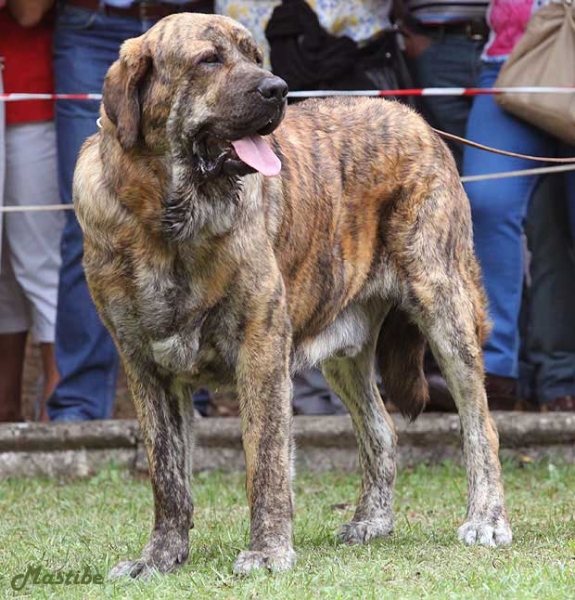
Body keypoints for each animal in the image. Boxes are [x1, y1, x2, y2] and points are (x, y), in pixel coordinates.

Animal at [75, 12, 512, 576]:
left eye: (254, 55)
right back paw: (372, 521)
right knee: (381, 429)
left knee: (479, 424)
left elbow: (265, 458)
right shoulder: (144, 363)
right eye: (208, 60)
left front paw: (266, 551)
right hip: (344, 351)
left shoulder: (261, 347)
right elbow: (168, 476)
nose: (277, 89)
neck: (169, 222)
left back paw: (487, 519)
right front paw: (159, 557)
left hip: (445, 305)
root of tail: (416, 119)